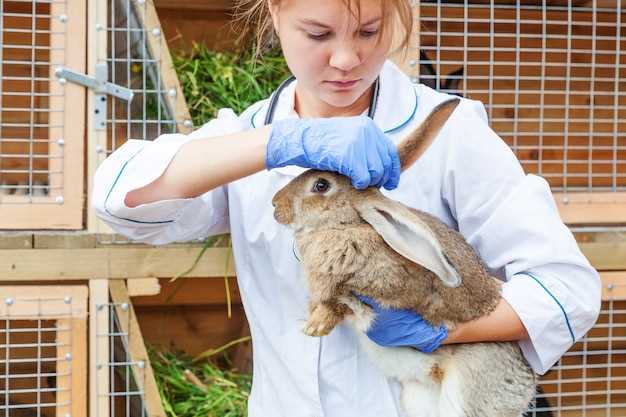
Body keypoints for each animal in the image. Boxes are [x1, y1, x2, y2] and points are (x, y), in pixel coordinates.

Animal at [270, 98, 532, 416]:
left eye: (321, 185)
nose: (275, 204)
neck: (348, 226)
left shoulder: (384, 289)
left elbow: (343, 301)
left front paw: (315, 326)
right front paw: (312, 321)